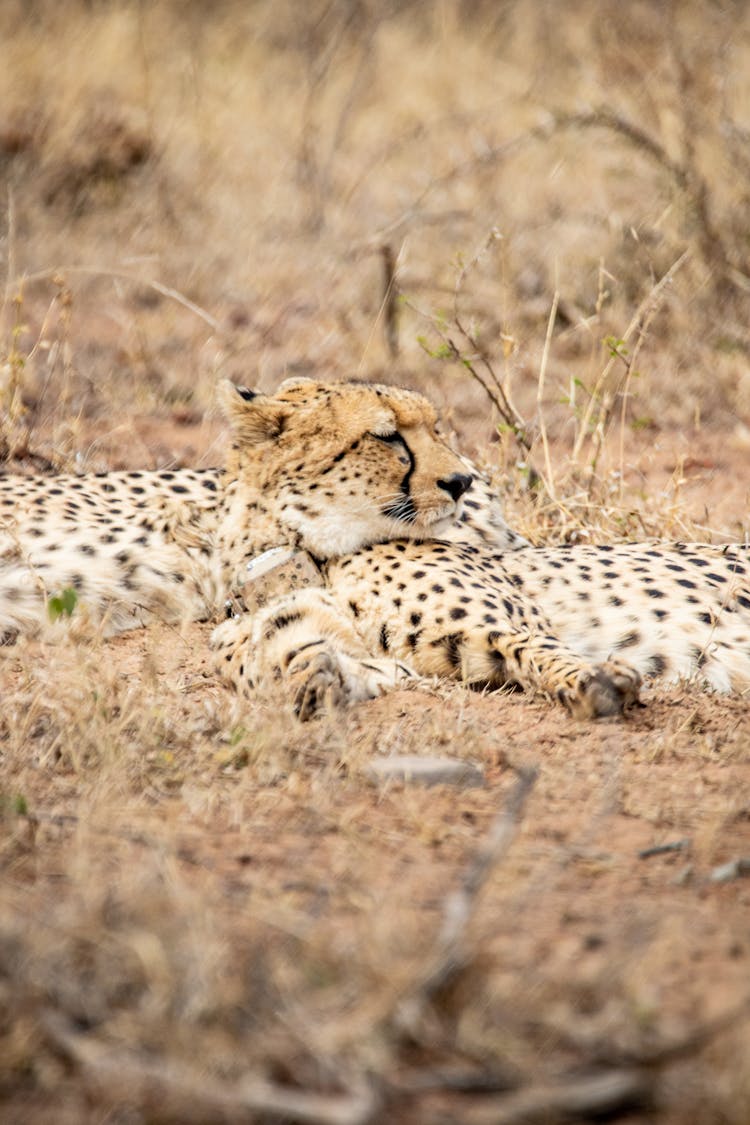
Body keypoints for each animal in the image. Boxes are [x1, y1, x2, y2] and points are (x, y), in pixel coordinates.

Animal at [1, 373, 750, 715]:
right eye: (388, 436)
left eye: (436, 428)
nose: (463, 479)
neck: (308, 550)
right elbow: (272, 654)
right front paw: (311, 676)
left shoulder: (506, 625)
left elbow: (540, 650)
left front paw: (597, 682)